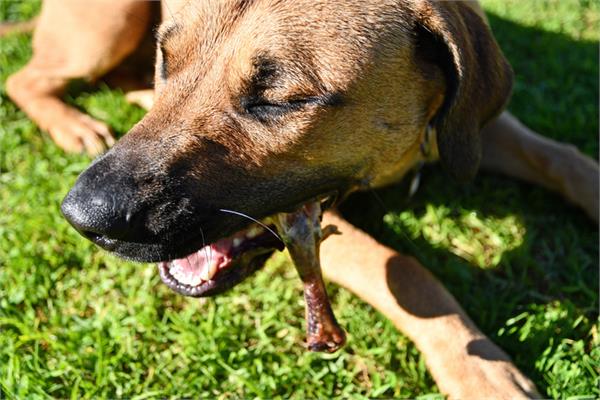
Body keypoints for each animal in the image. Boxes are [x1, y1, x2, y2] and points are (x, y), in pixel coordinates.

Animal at [5, 1, 600, 398]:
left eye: (281, 100)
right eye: (166, 58)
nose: (81, 216)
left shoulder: (465, 126)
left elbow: (565, 158)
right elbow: (405, 269)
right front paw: (476, 365)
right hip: (107, 24)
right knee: (24, 79)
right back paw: (72, 124)